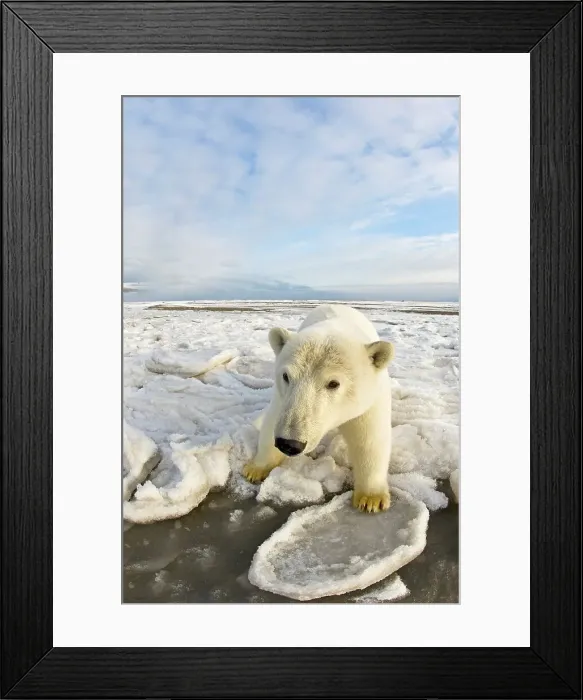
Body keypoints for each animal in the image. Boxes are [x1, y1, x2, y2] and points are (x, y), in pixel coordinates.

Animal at [243, 303, 395, 513]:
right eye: (286, 376)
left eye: (333, 383)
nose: (289, 444)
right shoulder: (283, 398)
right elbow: (272, 421)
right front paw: (255, 469)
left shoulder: (370, 400)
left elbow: (369, 439)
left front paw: (371, 499)